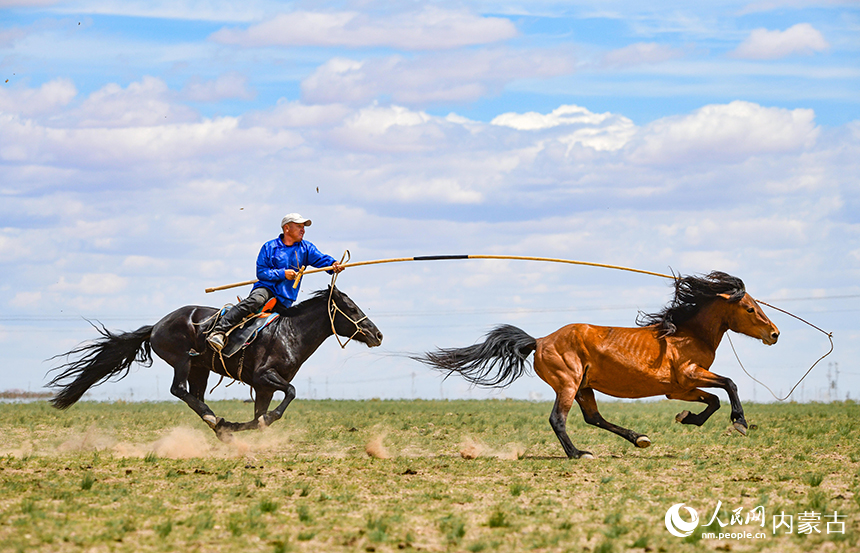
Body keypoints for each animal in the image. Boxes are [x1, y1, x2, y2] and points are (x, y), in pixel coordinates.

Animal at [48, 286, 383, 441]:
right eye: (351, 308)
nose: (377, 334)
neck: (289, 332)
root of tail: (156, 325)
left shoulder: (263, 388)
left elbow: (261, 415)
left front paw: (241, 425)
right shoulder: (265, 376)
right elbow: (290, 393)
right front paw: (246, 423)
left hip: (201, 369)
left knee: (194, 395)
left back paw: (220, 426)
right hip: (183, 360)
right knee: (179, 391)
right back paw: (215, 421)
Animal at [416, 271, 779, 459]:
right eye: (749, 308)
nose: (774, 333)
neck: (685, 334)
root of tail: (539, 341)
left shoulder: (682, 389)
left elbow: (714, 399)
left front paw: (688, 418)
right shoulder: (689, 375)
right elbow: (729, 384)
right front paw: (740, 423)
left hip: (584, 387)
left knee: (594, 417)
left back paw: (638, 439)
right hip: (568, 383)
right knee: (558, 419)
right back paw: (578, 454)